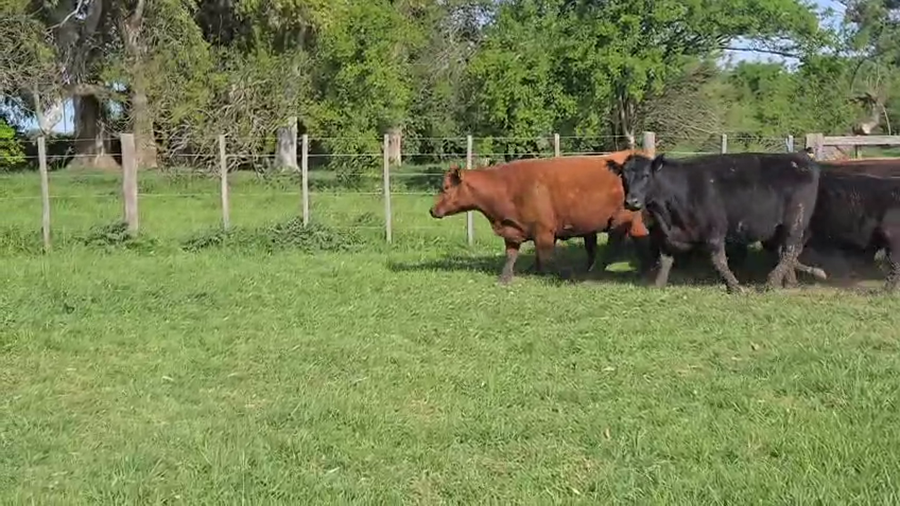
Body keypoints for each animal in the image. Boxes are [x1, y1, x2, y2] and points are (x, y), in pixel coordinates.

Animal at [428, 152, 651, 284]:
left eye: (445, 187)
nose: (432, 210)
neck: (505, 186)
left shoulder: (544, 231)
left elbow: (546, 256)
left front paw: (560, 274)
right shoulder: (513, 232)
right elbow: (511, 256)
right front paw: (505, 278)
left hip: (623, 220)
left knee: (618, 246)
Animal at [606, 152, 823, 293]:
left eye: (646, 176)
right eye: (623, 176)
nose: (631, 201)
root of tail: (802, 160)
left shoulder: (715, 231)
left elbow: (719, 261)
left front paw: (735, 287)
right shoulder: (666, 235)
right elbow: (665, 260)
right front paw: (658, 285)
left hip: (795, 221)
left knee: (790, 250)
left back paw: (772, 282)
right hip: (779, 229)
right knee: (785, 251)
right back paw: (789, 282)